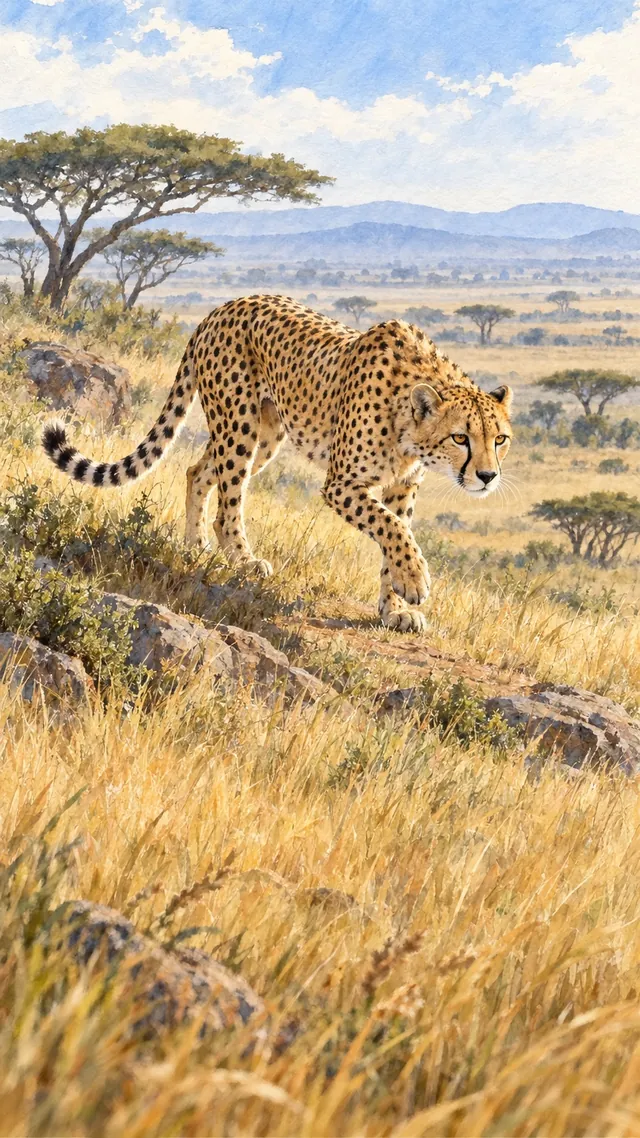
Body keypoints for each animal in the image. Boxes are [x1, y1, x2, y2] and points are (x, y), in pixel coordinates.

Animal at [43, 294, 513, 633]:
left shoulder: (403, 484)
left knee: (199, 472)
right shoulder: (341, 484)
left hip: (266, 434)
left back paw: (196, 546)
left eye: (500, 439)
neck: (408, 427)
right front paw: (414, 580)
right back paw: (242, 558)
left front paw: (395, 605)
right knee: (230, 498)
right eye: (460, 438)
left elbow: (395, 532)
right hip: (240, 426)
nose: (487, 476)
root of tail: (222, 307)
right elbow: (392, 528)